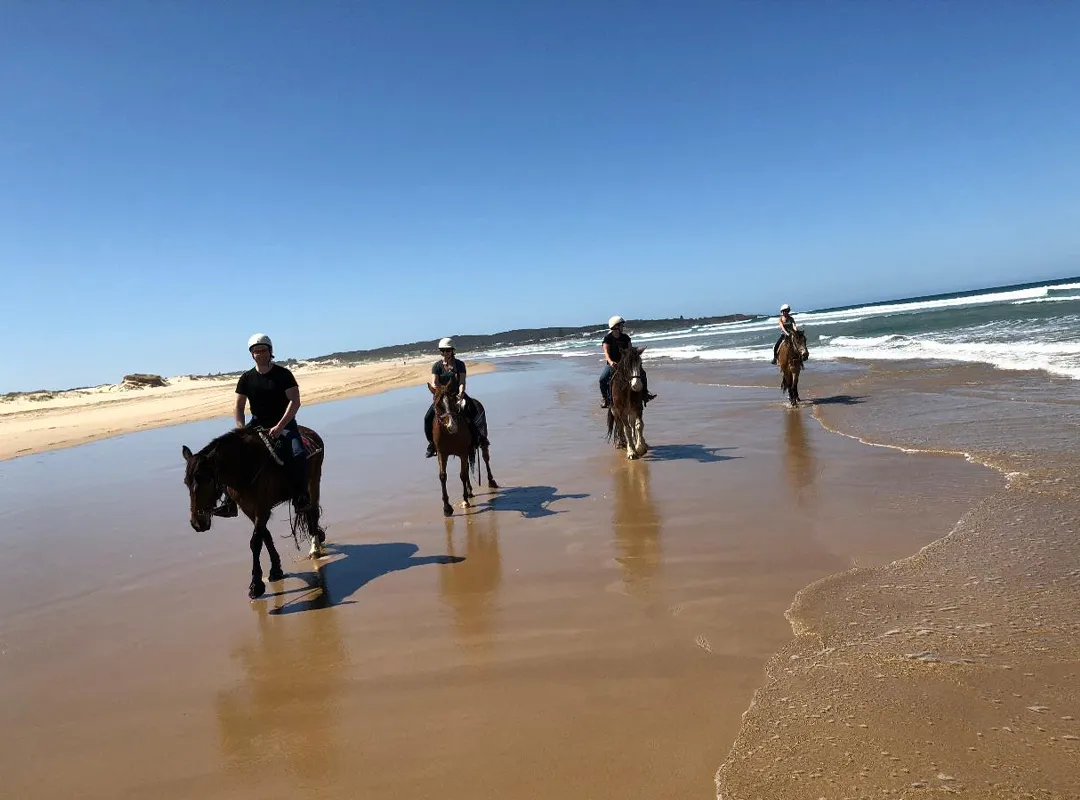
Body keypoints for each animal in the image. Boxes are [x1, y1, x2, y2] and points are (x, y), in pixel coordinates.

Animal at [181, 427, 326, 595]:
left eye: (209, 480)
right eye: (186, 483)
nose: (197, 523)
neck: (245, 467)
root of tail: (311, 432)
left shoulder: (262, 509)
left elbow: (255, 542)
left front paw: (256, 584)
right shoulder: (249, 509)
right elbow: (265, 536)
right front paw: (276, 570)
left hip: (314, 481)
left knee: (313, 512)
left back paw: (314, 549)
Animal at [427, 382, 498, 518]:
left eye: (453, 402)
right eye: (438, 404)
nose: (452, 426)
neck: (449, 435)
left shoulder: (462, 452)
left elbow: (463, 475)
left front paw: (465, 501)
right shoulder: (442, 454)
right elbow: (443, 476)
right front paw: (447, 508)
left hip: (481, 443)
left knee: (485, 459)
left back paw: (492, 482)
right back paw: (470, 491)